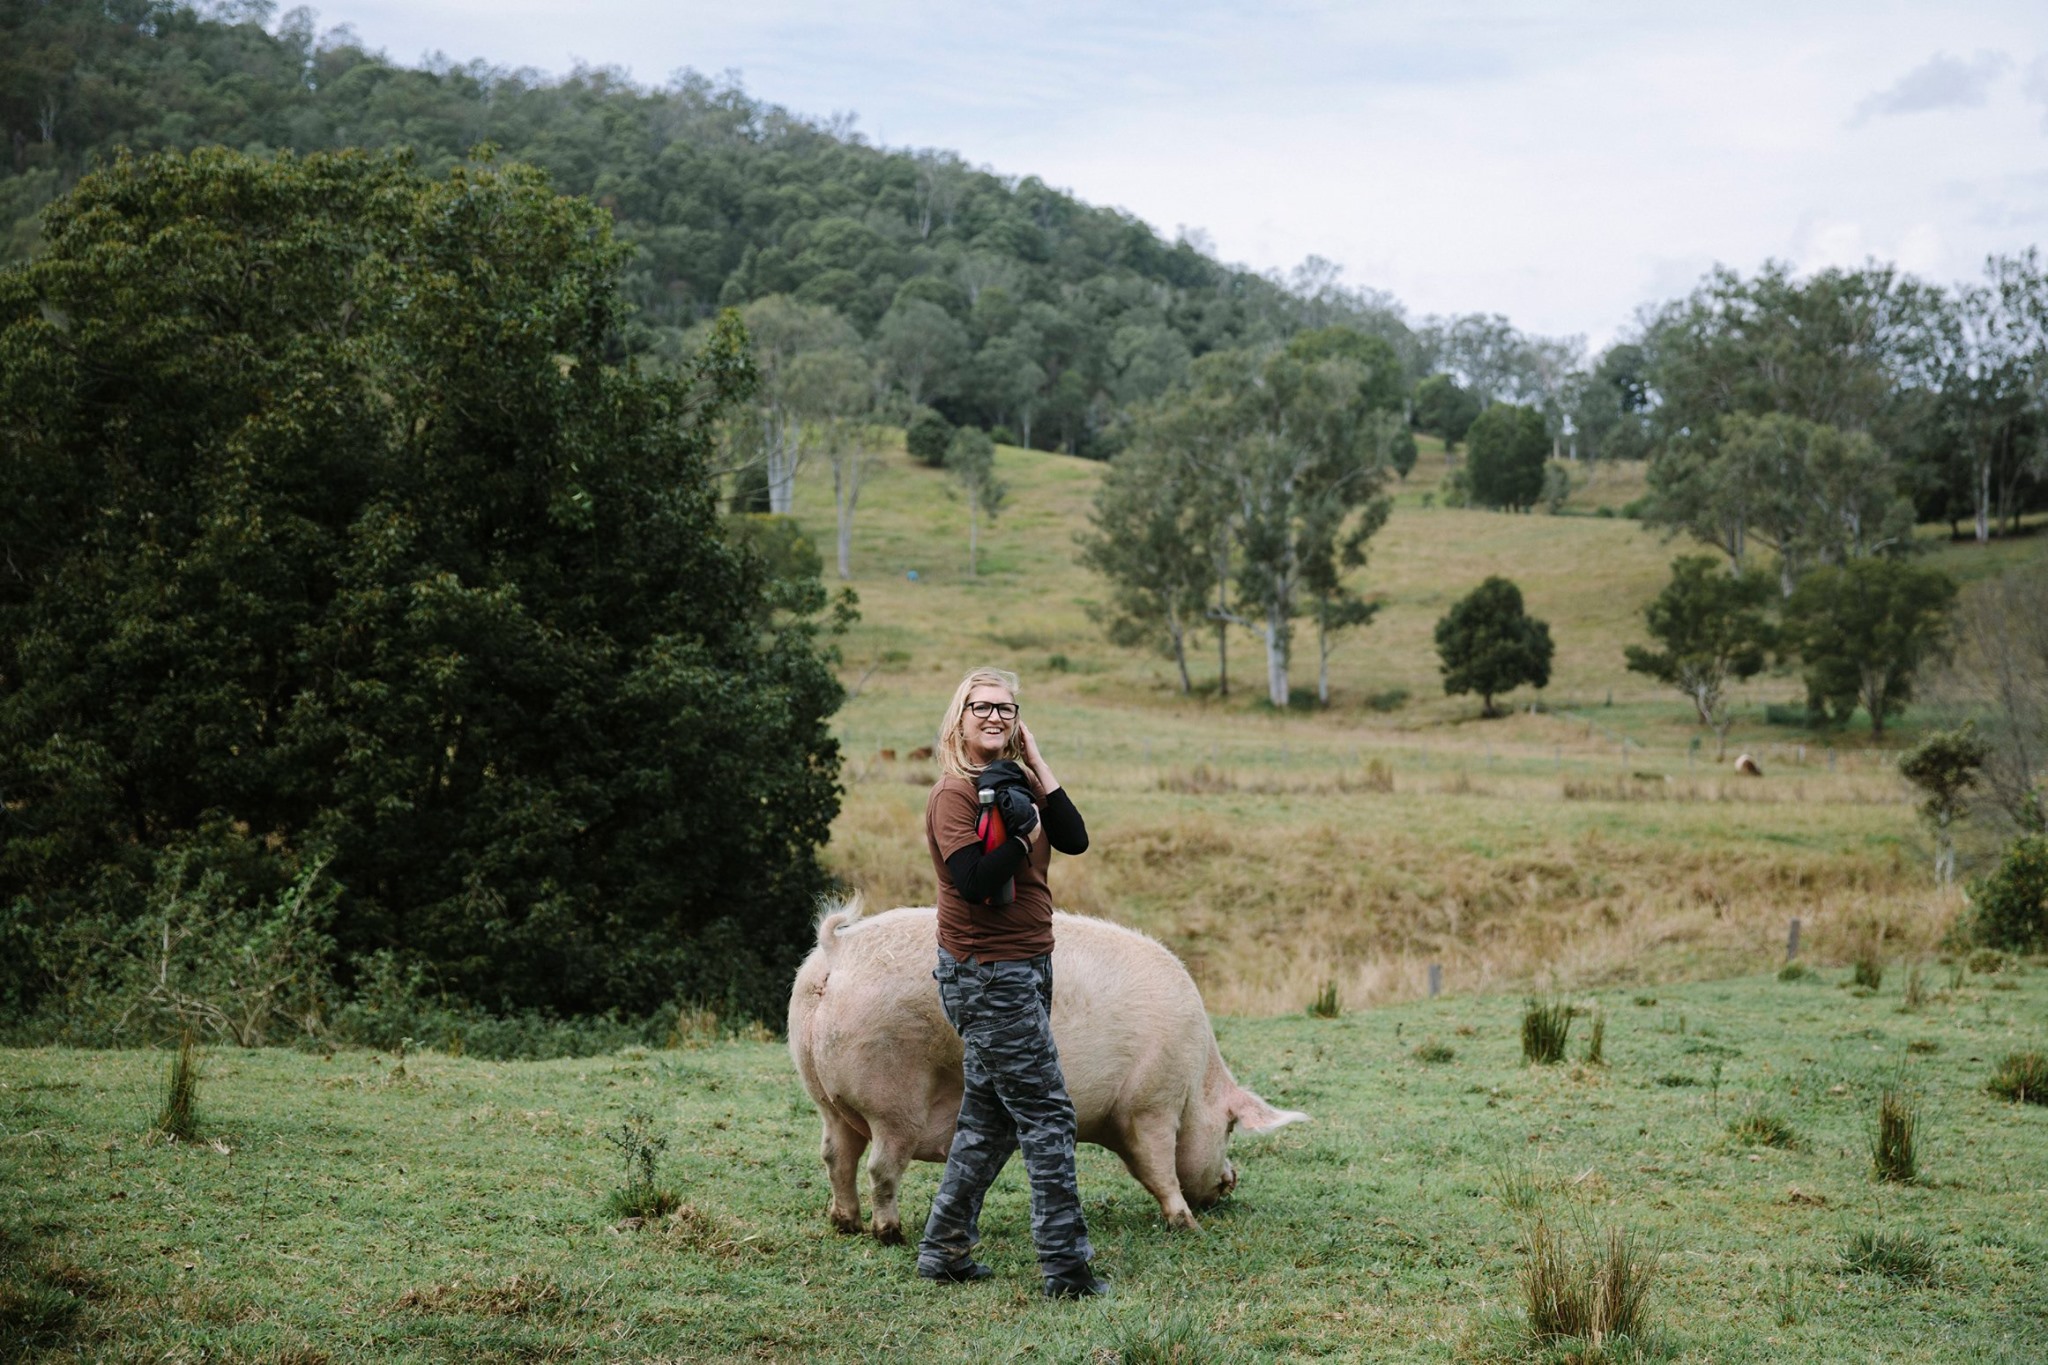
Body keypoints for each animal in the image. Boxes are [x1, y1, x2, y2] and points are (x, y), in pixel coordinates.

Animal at [790, 900, 1302, 1244]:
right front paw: (1187, 1225)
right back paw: (889, 1233)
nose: (1232, 1180)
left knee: (835, 1155)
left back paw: (845, 1224)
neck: (1195, 1082)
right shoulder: (1149, 1103)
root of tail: (835, 952)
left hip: (823, 1095)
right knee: (880, 1165)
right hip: (893, 1097)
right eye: (1230, 1128)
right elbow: (1157, 1167)